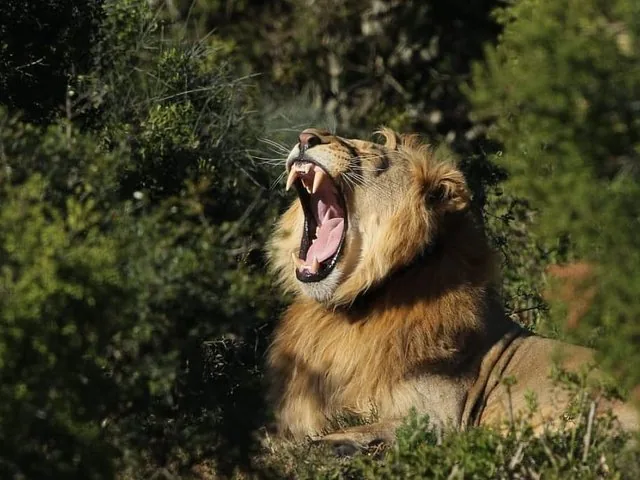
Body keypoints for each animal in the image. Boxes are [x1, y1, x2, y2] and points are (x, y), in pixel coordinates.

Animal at [265, 127, 639, 453]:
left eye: (372, 155)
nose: (305, 137)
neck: (353, 308)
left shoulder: (441, 416)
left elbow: (362, 428)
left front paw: (325, 446)